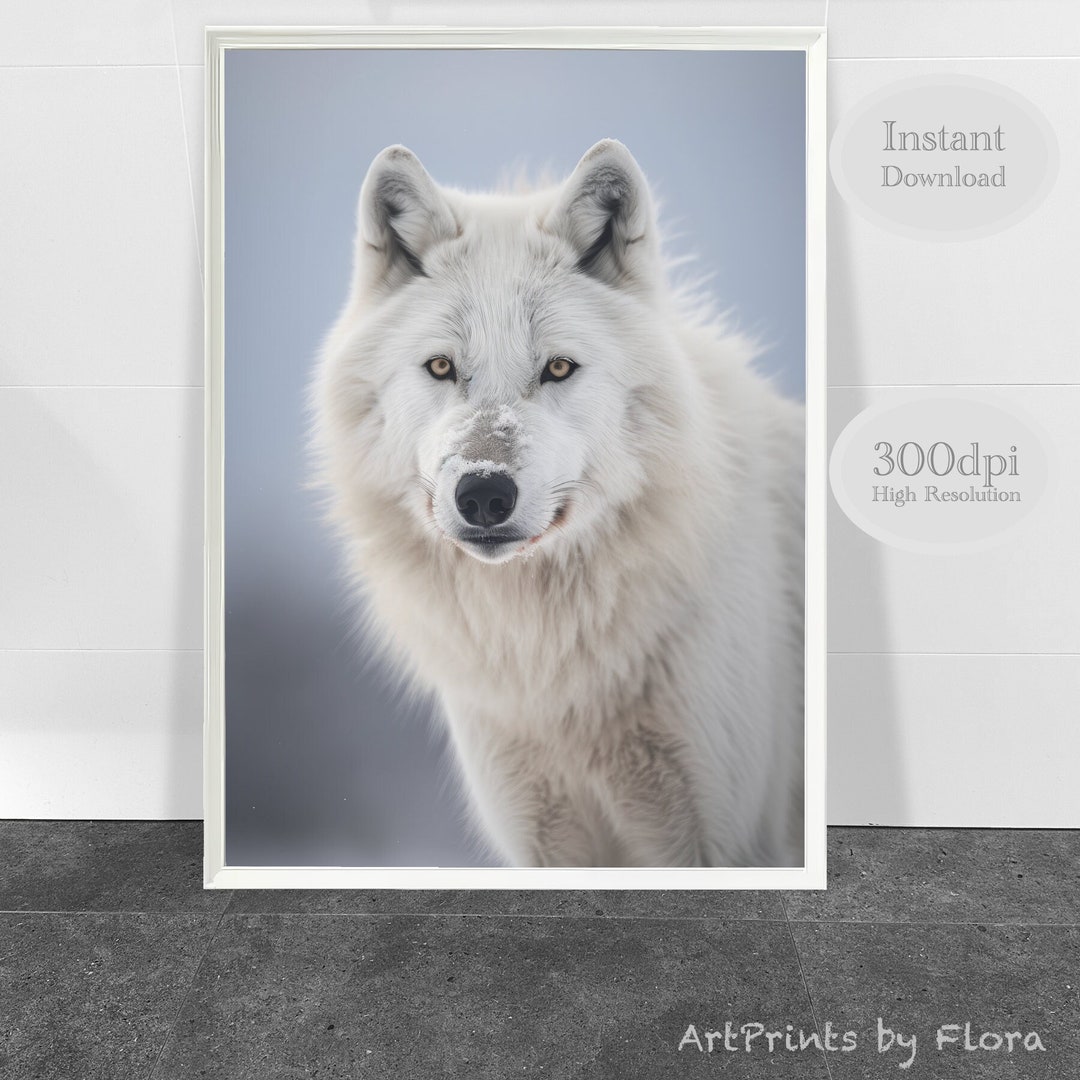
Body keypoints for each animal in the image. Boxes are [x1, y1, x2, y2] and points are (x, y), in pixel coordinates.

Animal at [311, 139, 804, 867]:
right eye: (441, 368)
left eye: (559, 368)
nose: (484, 493)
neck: (553, 669)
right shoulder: (541, 838)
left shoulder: (720, 841)